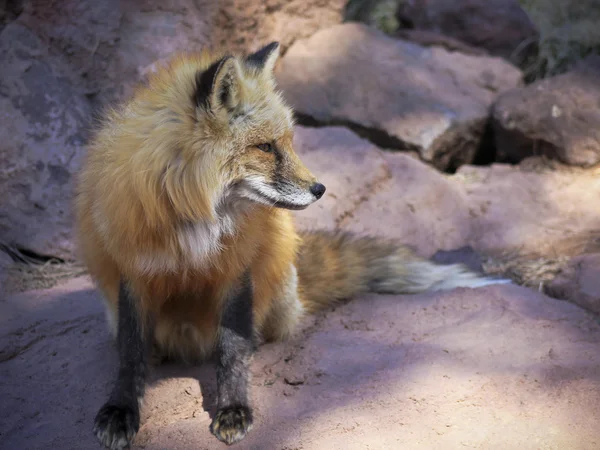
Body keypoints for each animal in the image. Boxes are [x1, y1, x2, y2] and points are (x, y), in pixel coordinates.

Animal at [74, 40, 506, 448]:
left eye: (288, 142)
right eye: (265, 147)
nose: (320, 189)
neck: (196, 217)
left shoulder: (236, 270)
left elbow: (232, 350)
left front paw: (234, 409)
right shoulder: (135, 272)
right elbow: (130, 355)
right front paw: (121, 411)